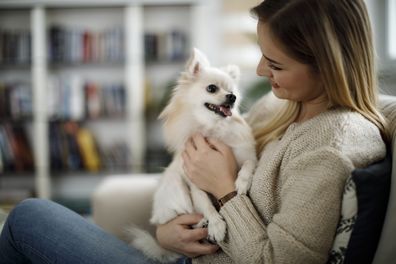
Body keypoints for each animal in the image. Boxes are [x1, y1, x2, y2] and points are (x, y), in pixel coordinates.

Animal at [127, 48, 256, 262]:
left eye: (233, 92)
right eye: (212, 88)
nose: (232, 97)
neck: (213, 128)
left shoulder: (247, 156)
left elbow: (248, 165)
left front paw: (242, 183)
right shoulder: (195, 184)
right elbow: (206, 204)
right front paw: (216, 224)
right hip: (176, 186)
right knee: (185, 214)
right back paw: (202, 223)